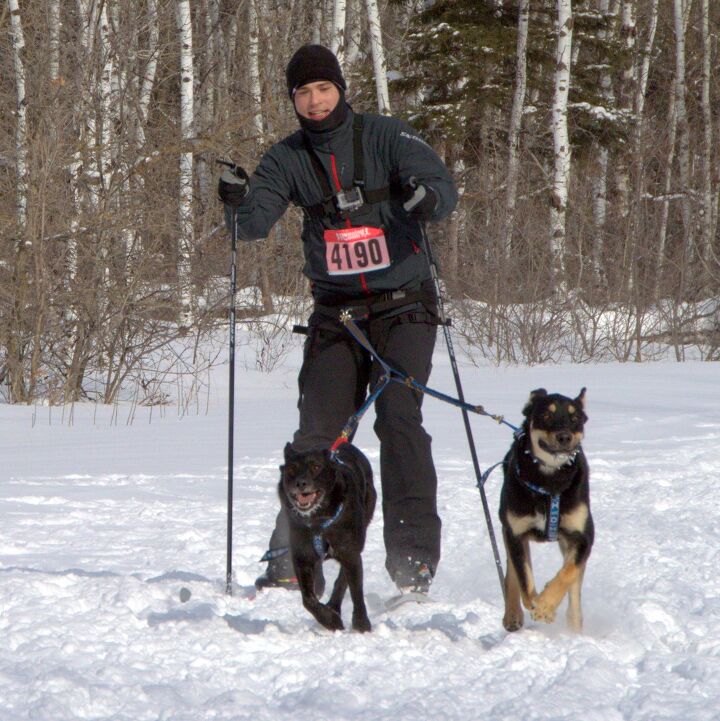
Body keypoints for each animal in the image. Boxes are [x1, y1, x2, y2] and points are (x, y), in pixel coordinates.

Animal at [278, 438, 376, 632]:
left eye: (316, 467)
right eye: (292, 469)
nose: (301, 483)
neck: (318, 520)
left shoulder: (349, 553)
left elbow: (356, 591)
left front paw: (361, 624)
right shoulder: (302, 556)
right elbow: (308, 599)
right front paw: (329, 620)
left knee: (343, 580)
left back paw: (335, 605)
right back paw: (332, 609)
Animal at [498, 388, 592, 632]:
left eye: (575, 418)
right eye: (546, 415)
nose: (564, 436)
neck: (549, 482)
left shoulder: (583, 536)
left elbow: (568, 573)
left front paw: (546, 606)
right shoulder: (515, 533)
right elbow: (524, 580)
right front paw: (537, 606)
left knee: (574, 587)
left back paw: (574, 627)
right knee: (511, 574)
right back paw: (512, 614)